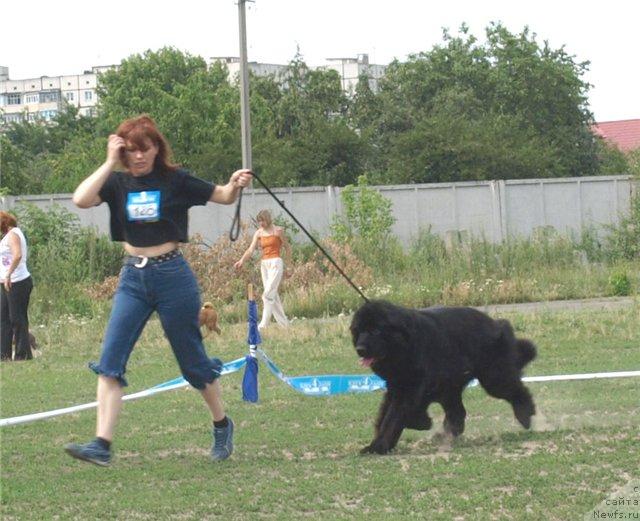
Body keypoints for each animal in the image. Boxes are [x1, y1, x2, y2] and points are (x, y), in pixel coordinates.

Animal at [352, 298, 536, 452]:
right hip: (451, 387)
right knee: (458, 412)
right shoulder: (397, 387)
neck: (405, 345)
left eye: (376, 331)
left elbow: (394, 417)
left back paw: (525, 415)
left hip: (493, 378)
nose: (360, 349)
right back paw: (445, 435)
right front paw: (379, 443)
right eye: (359, 331)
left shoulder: (411, 387)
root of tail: (497, 324)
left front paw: (380, 446)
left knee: (516, 390)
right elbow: (386, 415)